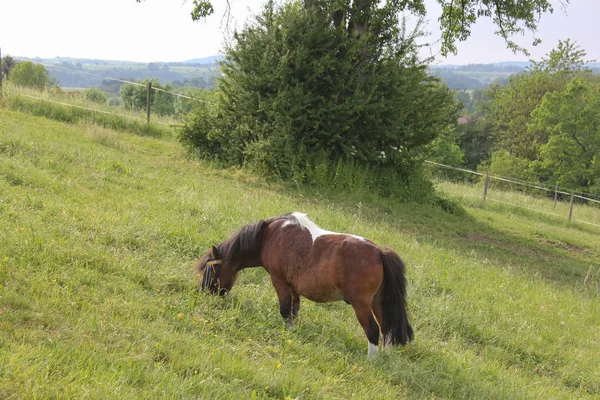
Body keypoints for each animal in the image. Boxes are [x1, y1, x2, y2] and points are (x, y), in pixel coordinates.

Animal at [197, 211, 412, 358]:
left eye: (211, 271)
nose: (203, 292)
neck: (269, 236)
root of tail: (379, 252)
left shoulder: (279, 281)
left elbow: (285, 309)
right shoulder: (294, 287)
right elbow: (295, 310)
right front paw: (294, 331)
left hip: (361, 304)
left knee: (373, 330)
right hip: (378, 303)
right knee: (386, 330)